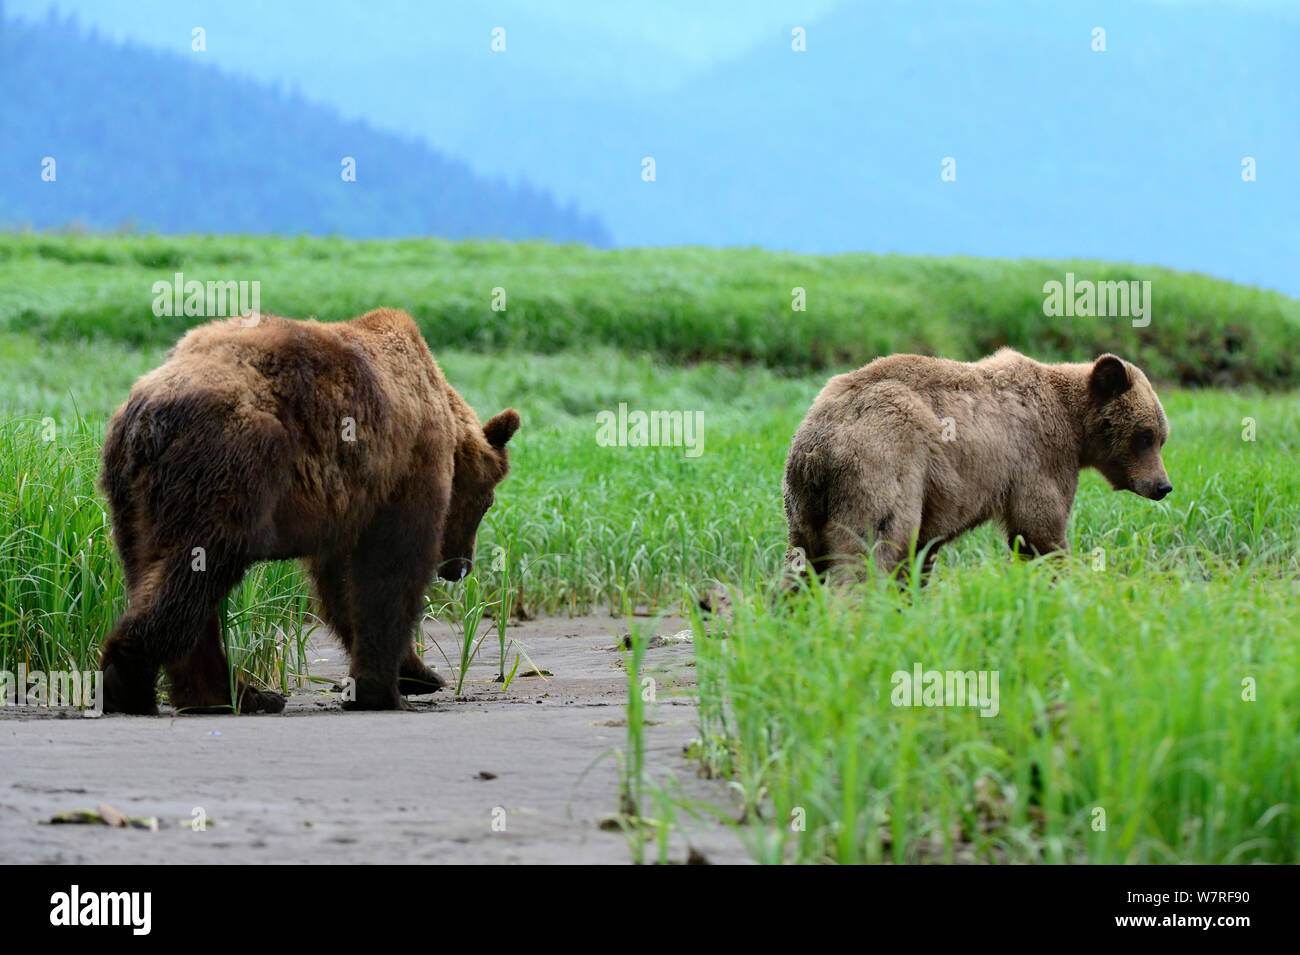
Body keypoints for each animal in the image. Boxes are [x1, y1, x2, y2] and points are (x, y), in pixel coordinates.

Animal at [100, 310, 517, 712]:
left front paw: (418, 674)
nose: (460, 567)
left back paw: (234, 696)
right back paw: (134, 683)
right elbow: (392, 570)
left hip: (131, 501)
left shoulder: (347, 502)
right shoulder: (406, 469)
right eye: (487, 501)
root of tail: (150, 416)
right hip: (228, 464)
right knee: (195, 570)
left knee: (155, 572)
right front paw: (387, 690)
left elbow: (341, 587)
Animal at [785, 348, 1175, 582]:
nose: (1163, 486)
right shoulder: (1038, 457)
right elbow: (1040, 528)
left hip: (804, 502)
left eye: (1161, 437)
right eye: (1144, 435)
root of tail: (816, 444)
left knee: (801, 563)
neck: (1074, 427)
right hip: (883, 464)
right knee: (871, 550)